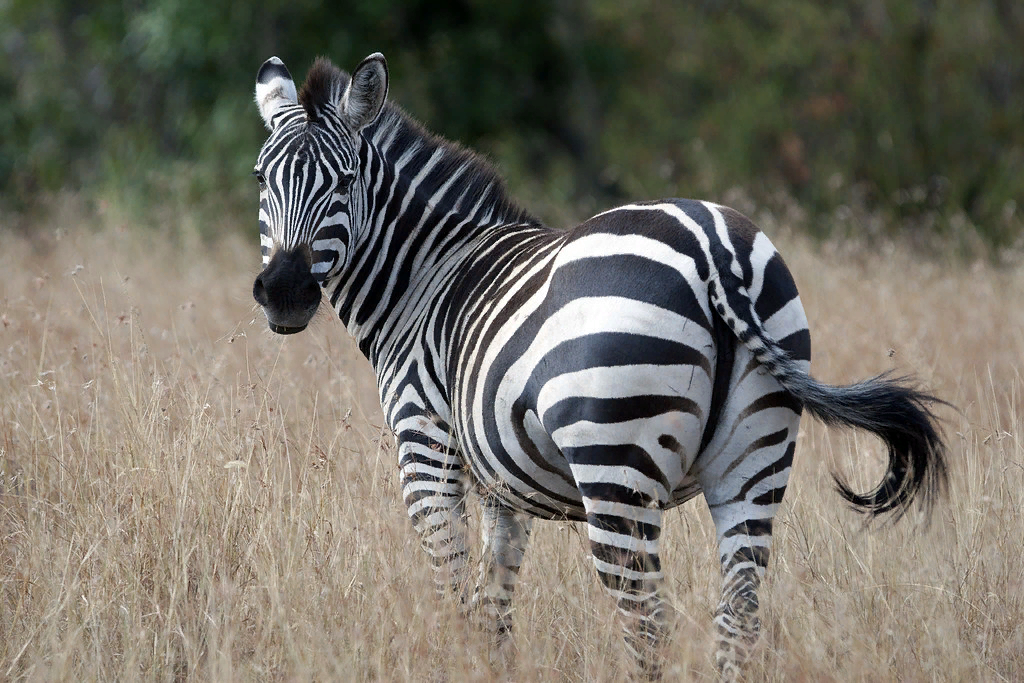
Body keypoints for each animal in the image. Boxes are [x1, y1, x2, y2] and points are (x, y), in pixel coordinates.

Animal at [251, 52, 946, 679]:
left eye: (343, 182)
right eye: (262, 179)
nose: (284, 291)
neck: (427, 276)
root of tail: (711, 245)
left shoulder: (428, 452)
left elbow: (452, 594)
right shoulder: (500, 484)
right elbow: (492, 608)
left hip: (615, 464)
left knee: (647, 624)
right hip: (756, 463)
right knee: (738, 617)